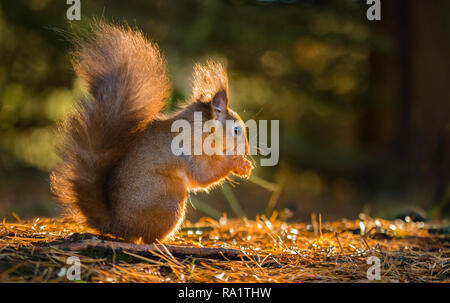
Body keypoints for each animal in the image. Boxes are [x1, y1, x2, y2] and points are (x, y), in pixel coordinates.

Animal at [50, 22, 253, 243]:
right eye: (236, 130)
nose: (247, 150)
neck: (201, 129)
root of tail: (118, 226)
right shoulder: (190, 151)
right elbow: (204, 175)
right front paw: (238, 163)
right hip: (170, 200)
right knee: (148, 237)